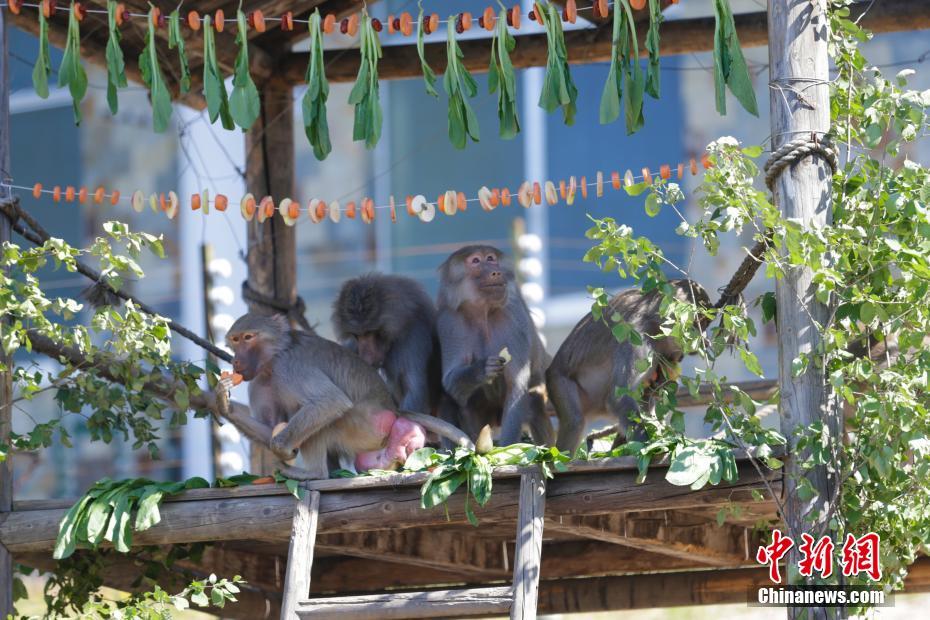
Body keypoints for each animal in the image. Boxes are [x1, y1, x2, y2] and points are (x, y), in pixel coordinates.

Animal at [436, 245, 552, 448]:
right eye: (475, 261)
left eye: (490, 258)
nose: (495, 272)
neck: (482, 312)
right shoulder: (449, 322)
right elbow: (450, 381)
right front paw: (482, 368)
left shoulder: (513, 316)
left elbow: (516, 386)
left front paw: (507, 449)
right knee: (447, 398)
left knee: (534, 398)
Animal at [544, 278, 712, 452]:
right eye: (700, 324)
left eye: (705, 324)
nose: (706, 341)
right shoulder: (636, 336)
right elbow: (619, 398)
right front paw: (649, 447)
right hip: (558, 381)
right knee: (575, 422)